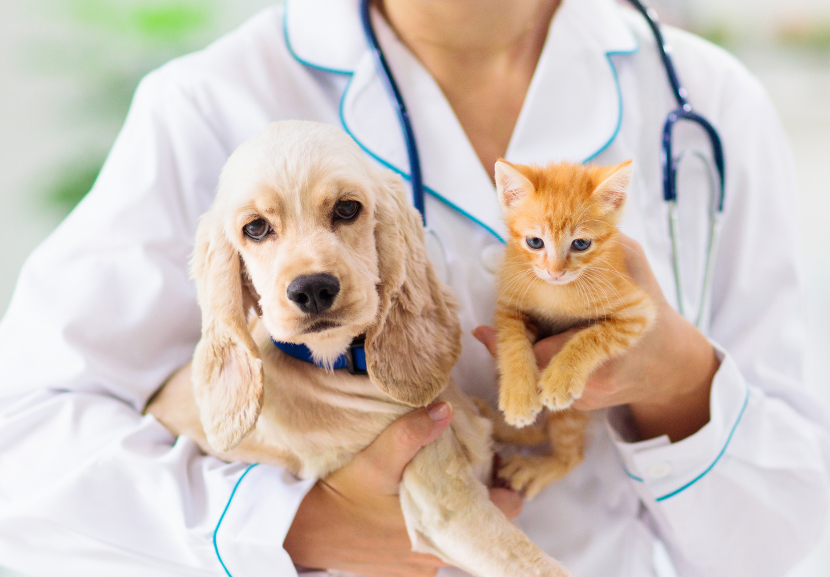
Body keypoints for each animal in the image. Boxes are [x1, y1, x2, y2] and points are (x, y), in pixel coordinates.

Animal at [146, 119, 572, 572]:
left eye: (347, 209)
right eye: (255, 228)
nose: (312, 289)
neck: (345, 365)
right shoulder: (445, 506)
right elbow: (539, 566)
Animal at [490, 159, 660, 500]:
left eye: (581, 244)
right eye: (534, 242)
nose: (556, 272)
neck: (556, 293)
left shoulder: (638, 311)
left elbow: (593, 336)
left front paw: (561, 378)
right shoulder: (509, 305)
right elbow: (512, 343)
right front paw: (518, 395)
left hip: (572, 415)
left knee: (572, 454)